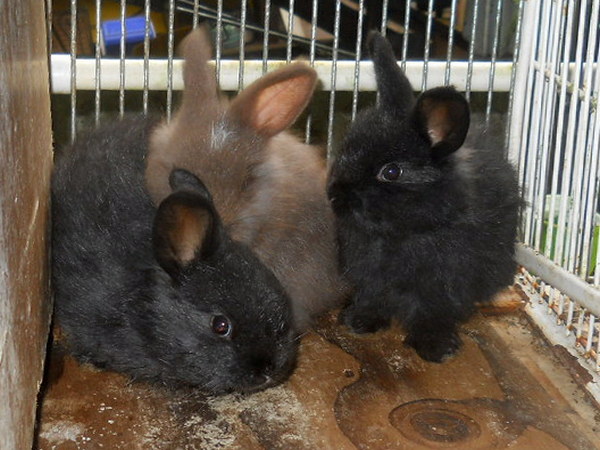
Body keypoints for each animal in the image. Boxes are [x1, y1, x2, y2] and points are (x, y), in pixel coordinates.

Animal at [328, 31, 520, 362]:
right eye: (344, 150)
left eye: (392, 172)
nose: (333, 194)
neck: (403, 234)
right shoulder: (370, 276)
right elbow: (373, 297)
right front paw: (359, 321)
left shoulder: (445, 282)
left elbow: (433, 312)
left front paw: (437, 348)